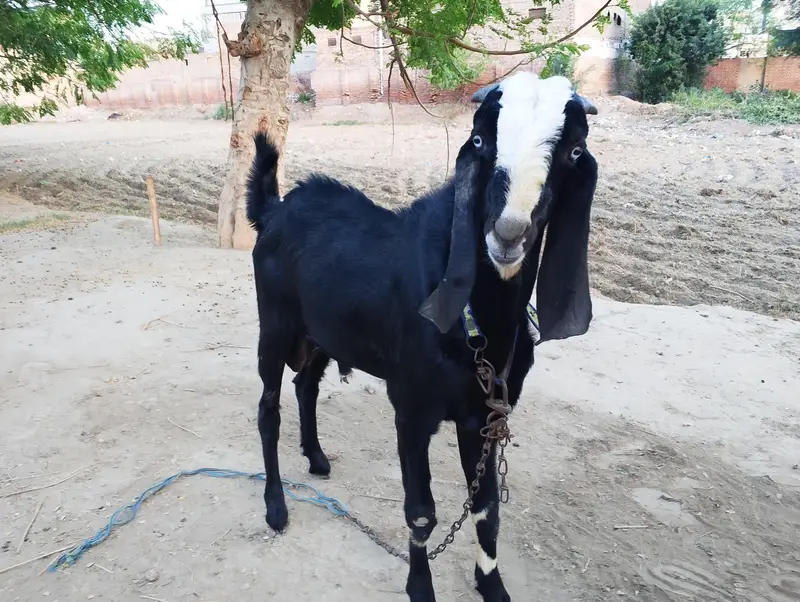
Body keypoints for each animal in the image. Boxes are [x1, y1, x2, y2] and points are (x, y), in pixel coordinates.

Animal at [247, 71, 599, 602]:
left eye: (574, 150)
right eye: (480, 139)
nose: (508, 233)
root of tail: (273, 210)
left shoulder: (484, 415)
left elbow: (486, 508)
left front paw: (491, 584)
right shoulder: (412, 409)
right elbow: (421, 513)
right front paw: (420, 587)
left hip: (324, 333)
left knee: (305, 385)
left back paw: (317, 457)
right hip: (274, 325)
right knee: (269, 408)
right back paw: (275, 506)